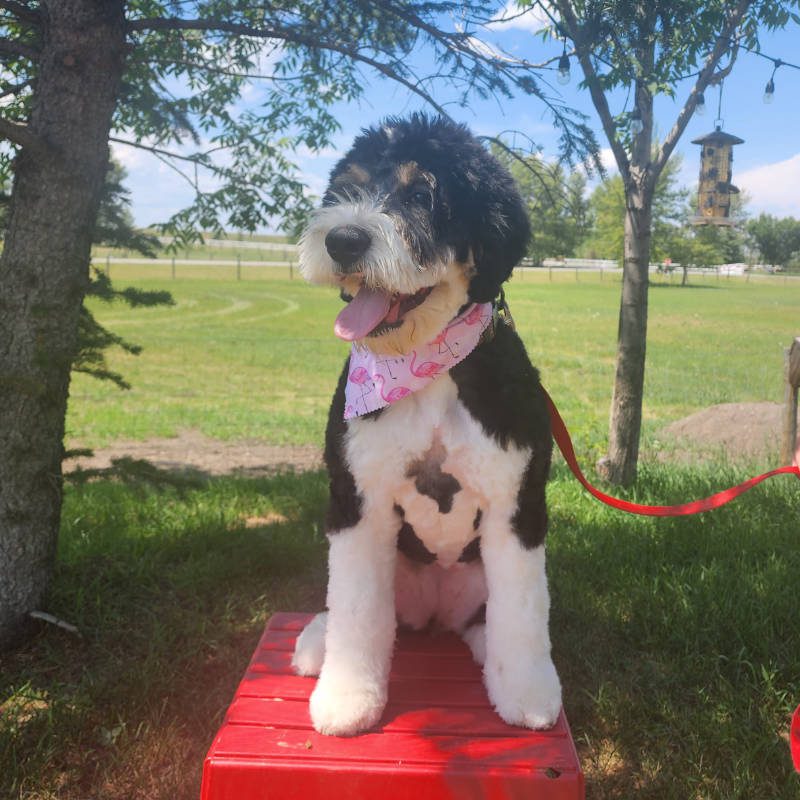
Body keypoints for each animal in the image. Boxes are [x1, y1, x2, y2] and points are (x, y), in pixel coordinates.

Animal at [294, 114, 564, 736]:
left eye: (423, 194)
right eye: (346, 188)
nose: (342, 240)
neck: (430, 368)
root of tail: (438, 610)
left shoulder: (517, 504)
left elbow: (524, 612)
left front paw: (528, 694)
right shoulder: (356, 499)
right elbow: (356, 610)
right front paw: (348, 697)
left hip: (478, 577)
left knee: (494, 618)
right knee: (354, 611)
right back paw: (317, 640)